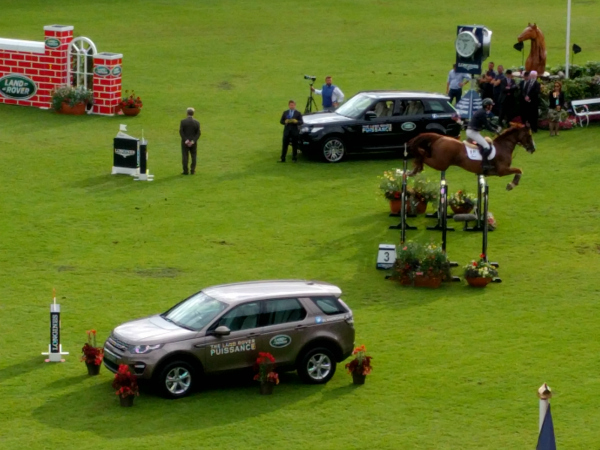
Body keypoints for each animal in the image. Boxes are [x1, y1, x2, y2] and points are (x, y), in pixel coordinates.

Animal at [406, 125, 536, 192]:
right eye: (529, 136)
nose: (533, 149)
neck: (504, 146)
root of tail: (439, 137)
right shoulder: (502, 170)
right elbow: (519, 170)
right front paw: (511, 185)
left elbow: (519, 170)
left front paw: (511, 184)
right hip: (440, 163)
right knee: (423, 156)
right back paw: (415, 168)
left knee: (423, 155)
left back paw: (414, 169)